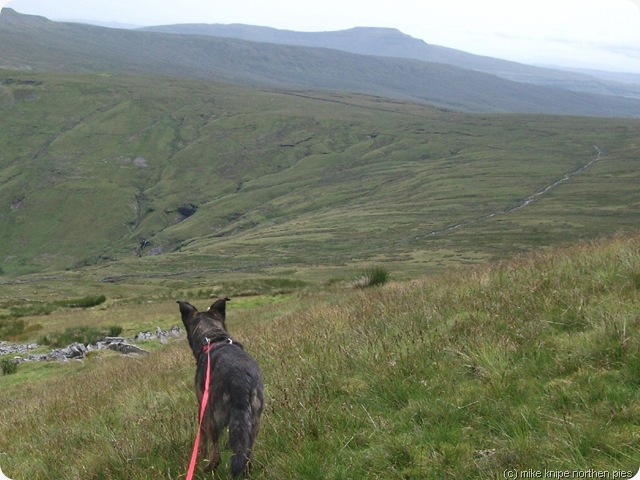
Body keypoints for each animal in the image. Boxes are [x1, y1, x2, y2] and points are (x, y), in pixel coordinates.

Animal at [176, 296, 264, 476]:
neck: (214, 338)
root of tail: (240, 381)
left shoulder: (202, 409)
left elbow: (202, 439)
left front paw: (201, 455)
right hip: (253, 423)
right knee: (246, 456)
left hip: (212, 417)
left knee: (216, 456)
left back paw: (204, 469)